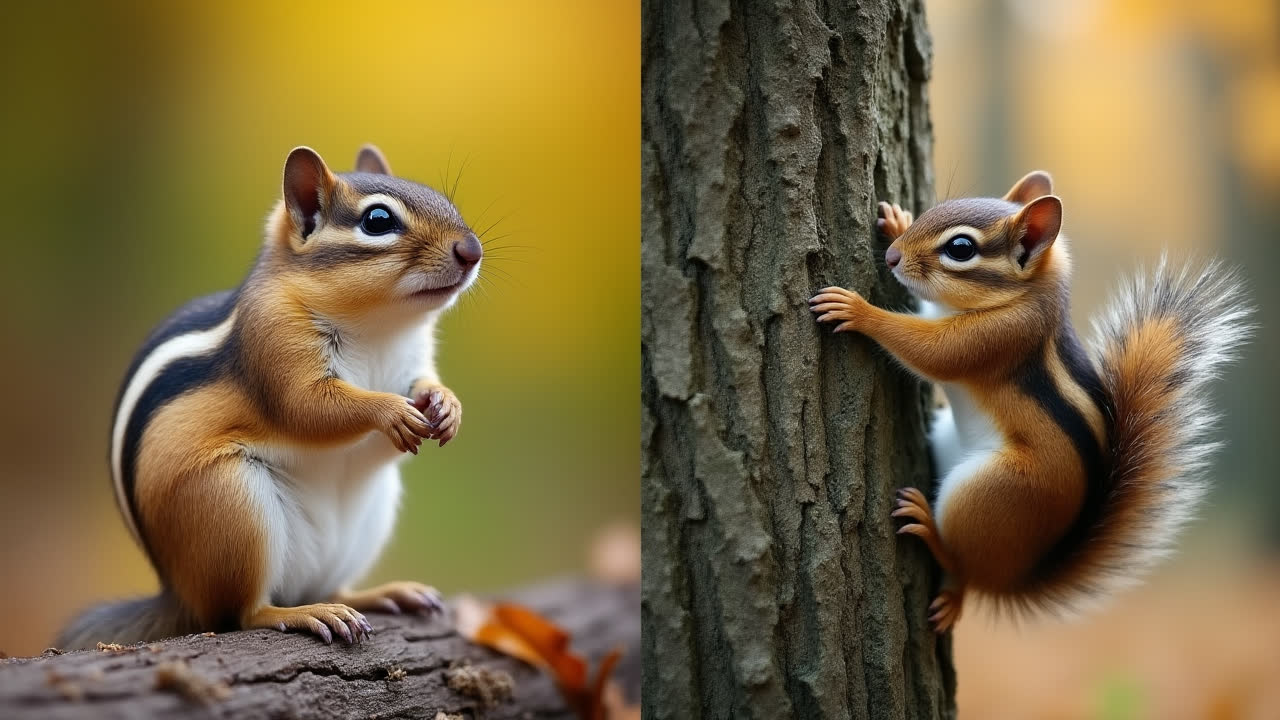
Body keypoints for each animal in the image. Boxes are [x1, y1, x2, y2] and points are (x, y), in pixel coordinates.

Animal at [57, 145, 482, 648]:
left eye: (444, 199)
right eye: (378, 220)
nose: (472, 250)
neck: (380, 326)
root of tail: (178, 594)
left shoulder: (414, 361)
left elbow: (425, 383)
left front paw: (447, 405)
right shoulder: (275, 342)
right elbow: (309, 407)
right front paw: (390, 410)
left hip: (369, 516)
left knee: (331, 586)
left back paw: (381, 594)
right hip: (230, 507)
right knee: (242, 613)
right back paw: (304, 612)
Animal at [810, 171, 1252, 632]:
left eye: (960, 248)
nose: (893, 257)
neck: (1030, 294)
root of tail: (1012, 576)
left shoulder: (1000, 337)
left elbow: (931, 352)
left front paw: (858, 310)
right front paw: (898, 220)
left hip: (991, 493)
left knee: (964, 563)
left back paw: (928, 525)